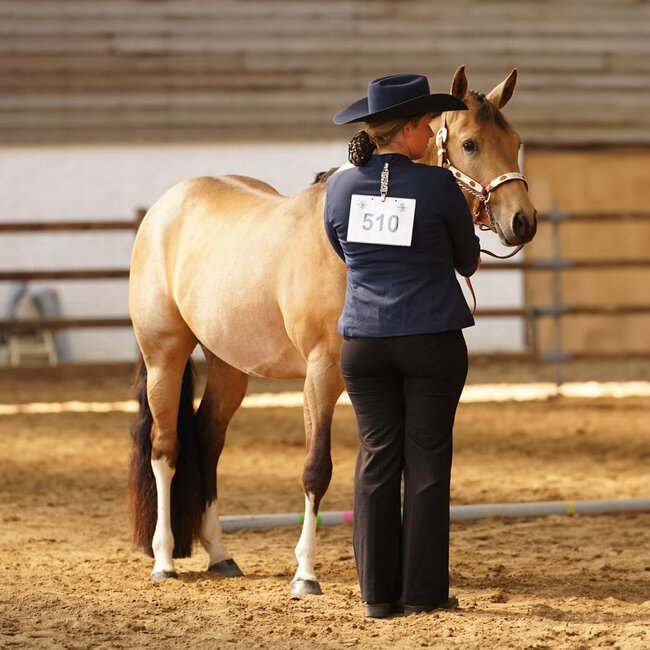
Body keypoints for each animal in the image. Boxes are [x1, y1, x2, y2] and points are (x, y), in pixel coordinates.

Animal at [128, 66, 537, 594]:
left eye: (517, 141)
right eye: (469, 144)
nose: (523, 221)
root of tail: (163, 208)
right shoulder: (321, 374)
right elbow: (316, 469)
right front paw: (305, 572)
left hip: (229, 365)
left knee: (207, 441)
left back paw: (220, 555)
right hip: (165, 356)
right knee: (166, 448)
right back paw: (163, 560)